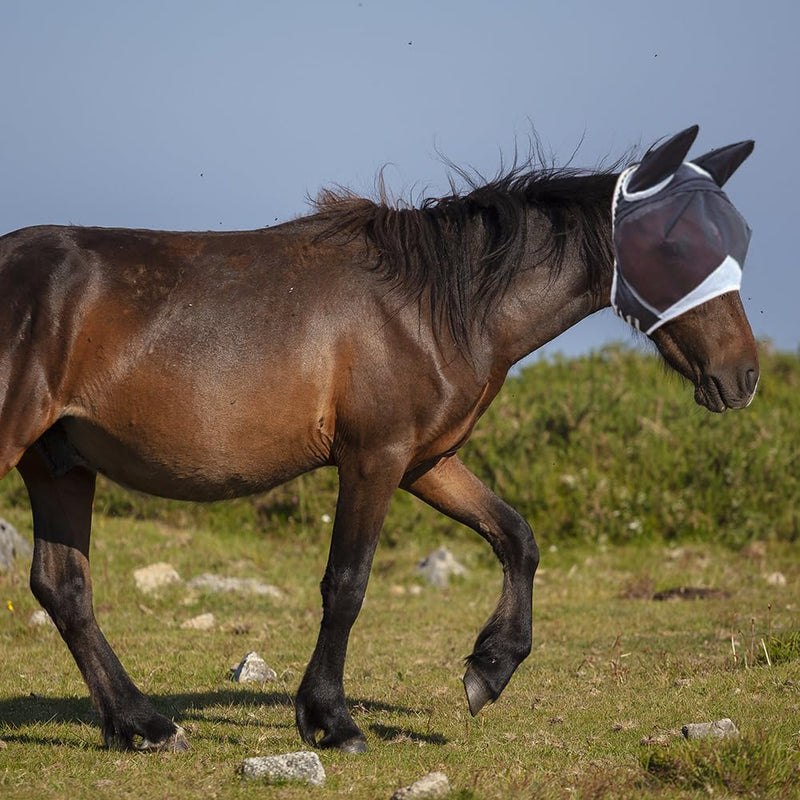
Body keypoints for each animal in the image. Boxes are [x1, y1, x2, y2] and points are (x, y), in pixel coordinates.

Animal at [0, 125, 757, 753]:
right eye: (676, 245)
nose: (742, 374)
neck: (430, 306)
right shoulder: (374, 459)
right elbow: (347, 584)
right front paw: (330, 721)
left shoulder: (426, 460)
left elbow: (516, 537)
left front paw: (490, 668)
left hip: (59, 463)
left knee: (64, 587)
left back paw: (141, 726)